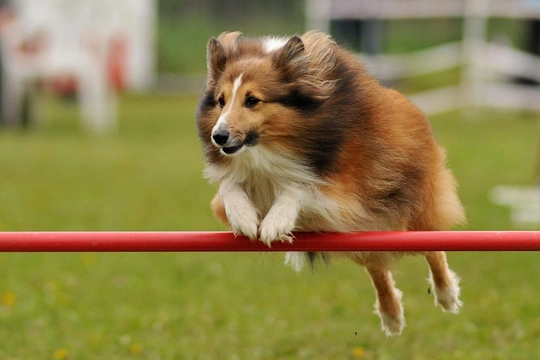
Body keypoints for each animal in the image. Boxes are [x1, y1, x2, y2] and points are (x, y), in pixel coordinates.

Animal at [196, 30, 466, 334]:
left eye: (252, 100)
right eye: (221, 100)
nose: (218, 137)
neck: (268, 149)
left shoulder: (343, 194)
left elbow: (300, 186)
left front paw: (275, 222)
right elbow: (228, 186)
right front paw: (243, 217)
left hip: (410, 212)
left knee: (433, 247)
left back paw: (446, 293)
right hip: (366, 232)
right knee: (377, 267)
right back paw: (392, 315)